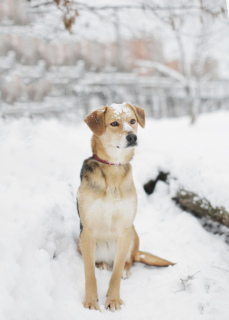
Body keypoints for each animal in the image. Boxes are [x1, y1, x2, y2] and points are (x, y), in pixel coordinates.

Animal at [77, 102, 174, 310]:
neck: (113, 167)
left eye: (133, 121)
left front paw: (113, 299)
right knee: (100, 262)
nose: (132, 137)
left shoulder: (124, 230)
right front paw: (91, 300)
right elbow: (89, 273)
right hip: (80, 241)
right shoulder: (87, 231)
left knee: (129, 261)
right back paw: (102, 264)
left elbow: (116, 272)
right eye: (114, 123)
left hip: (133, 234)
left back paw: (124, 270)